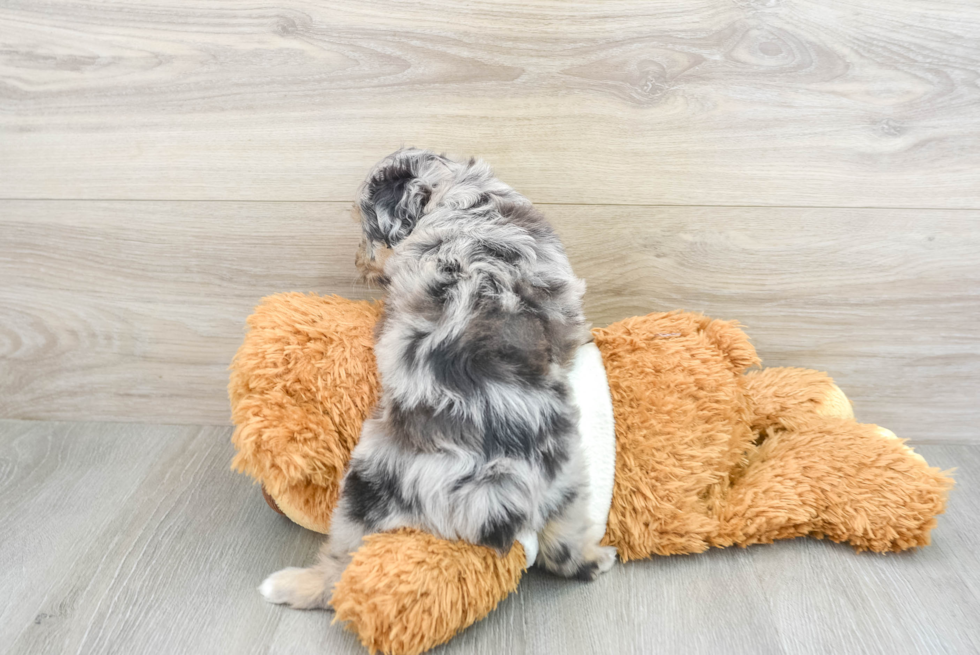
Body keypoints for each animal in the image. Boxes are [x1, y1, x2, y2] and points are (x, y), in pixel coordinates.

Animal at [260, 149, 612, 608]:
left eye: (367, 230)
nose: (358, 264)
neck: (459, 192)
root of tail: (489, 486)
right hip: (565, 477)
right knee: (562, 549)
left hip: (367, 490)